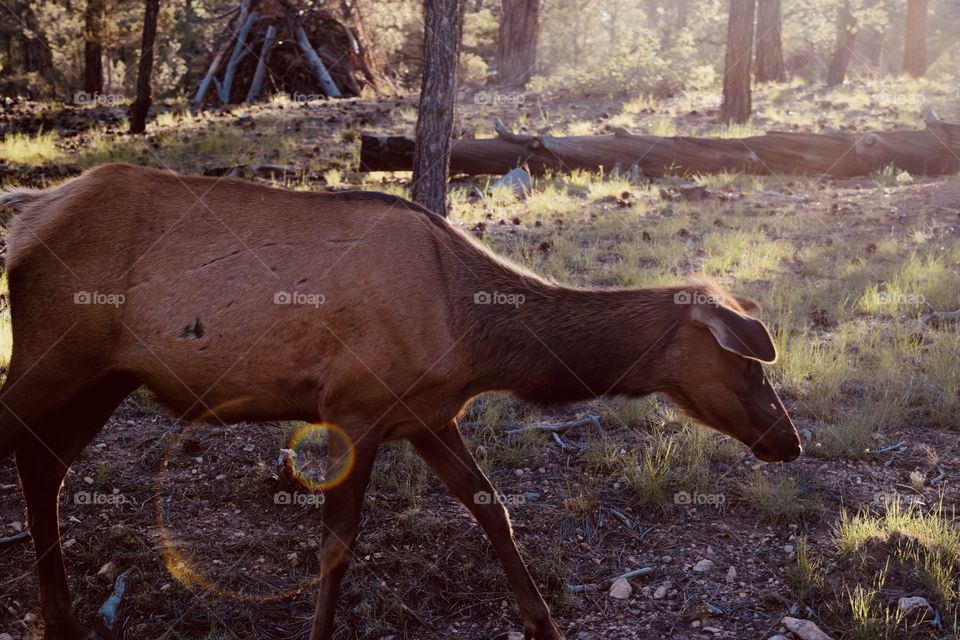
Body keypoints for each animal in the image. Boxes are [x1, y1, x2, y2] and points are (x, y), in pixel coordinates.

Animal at [0, 163, 801, 640]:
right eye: (750, 367)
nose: (789, 442)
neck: (475, 338)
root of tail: (26, 218)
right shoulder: (353, 407)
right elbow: (336, 546)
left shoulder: (427, 416)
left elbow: (493, 508)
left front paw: (543, 623)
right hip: (54, 355)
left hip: (103, 376)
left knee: (46, 466)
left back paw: (61, 616)